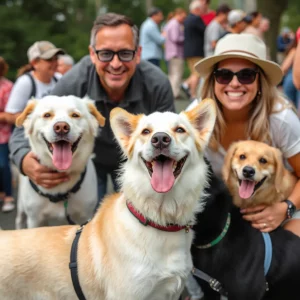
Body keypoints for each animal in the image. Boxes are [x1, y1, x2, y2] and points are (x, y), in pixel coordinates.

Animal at [14, 95, 105, 229]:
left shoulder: (84, 216)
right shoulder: (35, 220)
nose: (61, 127)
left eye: (75, 115)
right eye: (47, 115)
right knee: (19, 220)